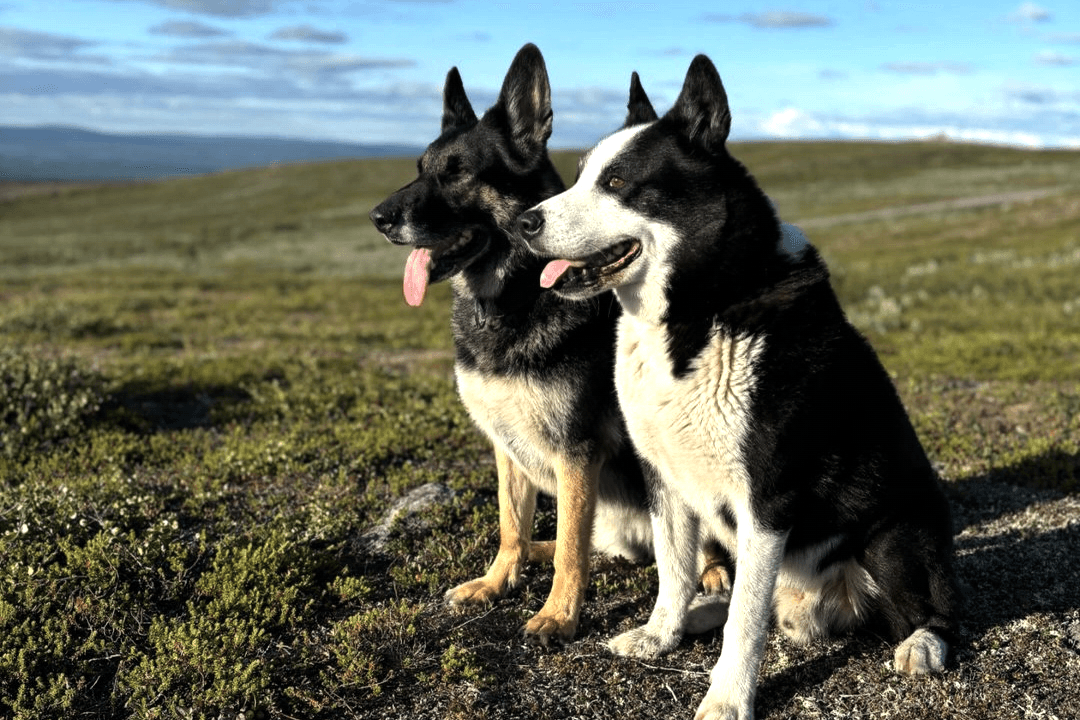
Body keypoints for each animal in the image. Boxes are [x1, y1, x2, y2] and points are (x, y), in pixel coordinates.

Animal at [371, 43, 678, 643]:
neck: (512, 299)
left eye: (459, 173)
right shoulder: (506, 444)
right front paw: (498, 581)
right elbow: (511, 523)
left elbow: (570, 550)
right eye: (421, 169)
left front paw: (559, 614)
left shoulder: (576, 451)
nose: (378, 217)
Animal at [511, 57, 954, 720]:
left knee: (933, 609)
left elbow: (746, 619)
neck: (704, 307)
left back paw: (923, 644)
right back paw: (700, 615)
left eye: (617, 182)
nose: (523, 222)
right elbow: (674, 571)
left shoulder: (766, 498)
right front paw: (662, 634)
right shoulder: (664, 478)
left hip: (894, 534)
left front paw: (726, 697)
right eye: (581, 173)